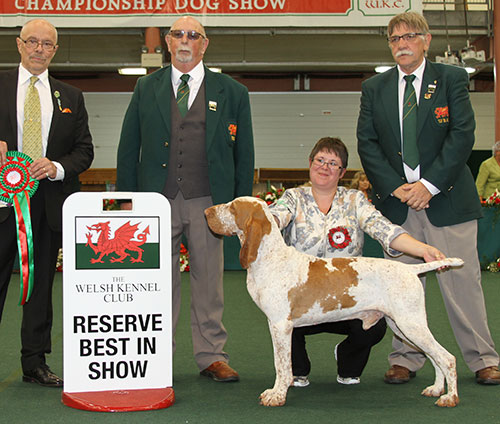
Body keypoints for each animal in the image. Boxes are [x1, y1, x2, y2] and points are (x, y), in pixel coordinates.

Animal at [205, 197, 462, 406]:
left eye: (232, 207)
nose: (207, 212)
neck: (270, 257)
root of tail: (411, 269)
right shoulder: (278, 325)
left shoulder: (280, 326)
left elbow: (282, 365)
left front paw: (277, 395)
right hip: (402, 326)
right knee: (434, 357)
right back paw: (436, 389)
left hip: (410, 324)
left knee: (446, 358)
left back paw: (450, 397)